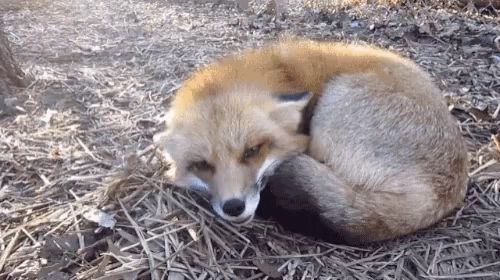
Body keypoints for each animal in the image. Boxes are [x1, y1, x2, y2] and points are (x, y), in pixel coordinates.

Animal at [153, 38, 468, 245]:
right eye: (201, 165)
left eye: (252, 151)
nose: (234, 207)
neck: (281, 75)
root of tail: (442, 192)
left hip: (335, 100)